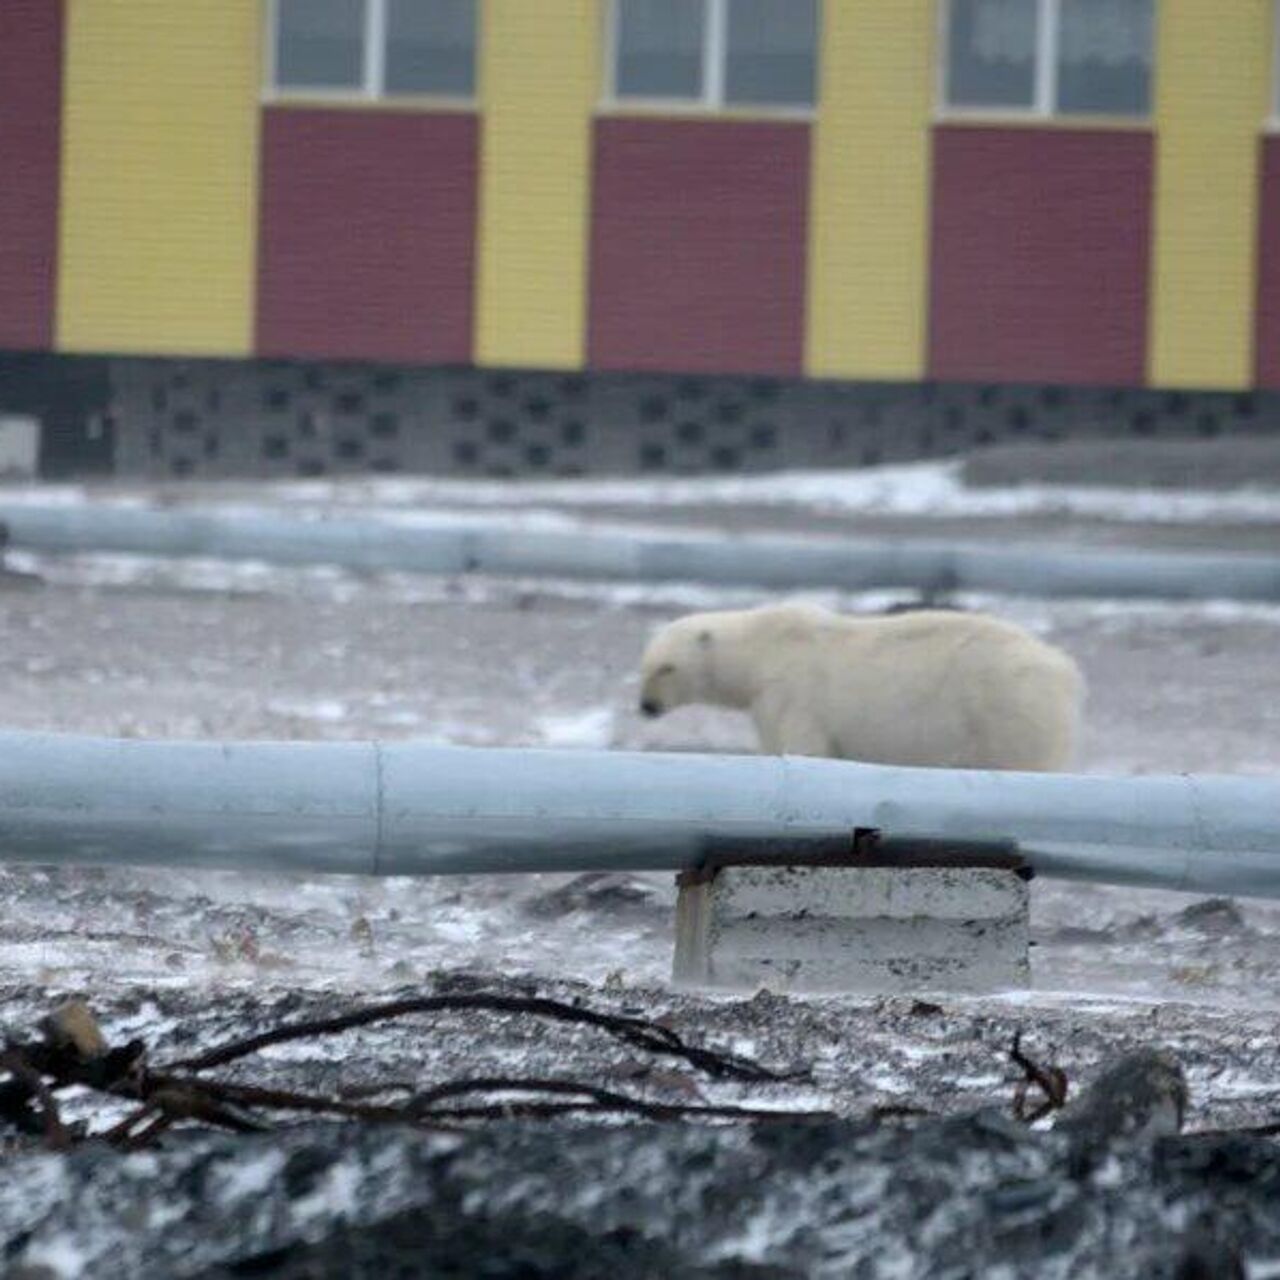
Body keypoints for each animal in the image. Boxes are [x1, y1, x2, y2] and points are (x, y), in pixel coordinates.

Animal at [634, 601, 1085, 768]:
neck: (765, 648)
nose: (646, 706)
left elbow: (805, 748)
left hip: (1005, 708)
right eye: (645, 666)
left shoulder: (792, 692)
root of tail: (1064, 669)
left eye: (667, 668)